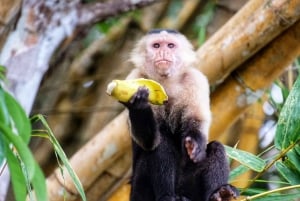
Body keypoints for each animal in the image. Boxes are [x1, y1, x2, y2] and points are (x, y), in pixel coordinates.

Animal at [122, 29, 239, 201]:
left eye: (170, 46)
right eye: (156, 46)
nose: (163, 52)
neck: (166, 83)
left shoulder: (195, 79)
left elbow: (197, 121)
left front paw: (194, 144)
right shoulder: (133, 78)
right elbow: (149, 141)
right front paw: (139, 104)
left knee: (215, 147)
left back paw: (219, 192)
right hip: (138, 193)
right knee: (160, 144)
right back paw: (167, 196)